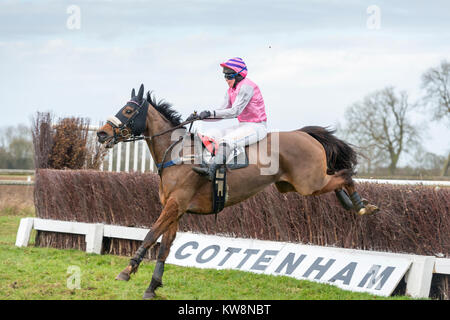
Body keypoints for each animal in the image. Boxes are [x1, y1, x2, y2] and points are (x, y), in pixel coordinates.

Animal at [96, 84, 378, 298]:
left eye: (128, 109)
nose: (101, 133)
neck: (178, 154)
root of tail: (304, 134)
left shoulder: (175, 205)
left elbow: (149, 235)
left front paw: (127, 271)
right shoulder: (176, 210)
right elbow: (164, 246)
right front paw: (152, 287)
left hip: (309, 183)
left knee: (344, 175)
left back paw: (361, 205)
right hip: (298, 185)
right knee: (338, 178)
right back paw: (355, 203)